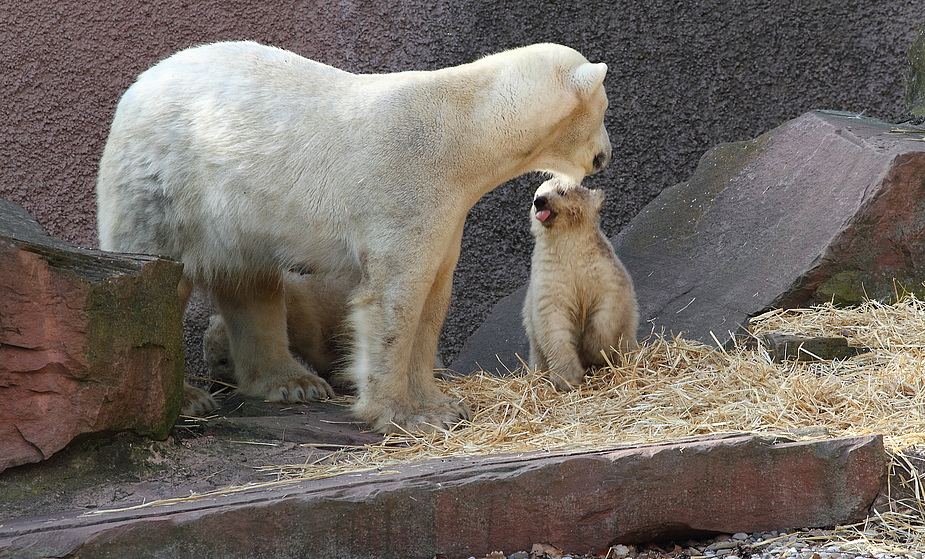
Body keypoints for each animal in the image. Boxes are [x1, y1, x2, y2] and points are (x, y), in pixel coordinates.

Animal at [97, 40, 608, 434]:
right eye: (604, 108)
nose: (605, 156)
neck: (463, 129)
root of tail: (136, 89)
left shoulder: (447, 209)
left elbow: (432, 295)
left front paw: (443, 405)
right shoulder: (405, 183)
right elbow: (393, 300)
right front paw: (402, 416)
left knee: (251, 283)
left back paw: (292, 382)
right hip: (165, 185)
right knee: (160, 269)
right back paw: (189, 396)